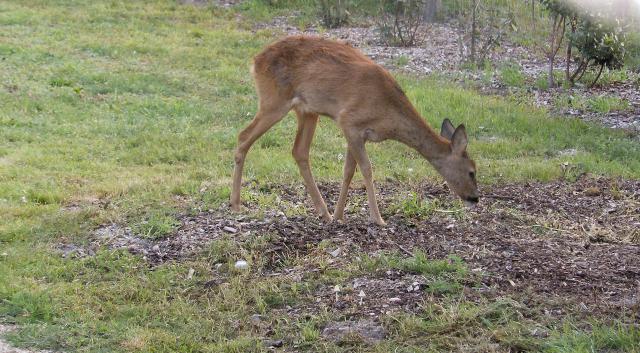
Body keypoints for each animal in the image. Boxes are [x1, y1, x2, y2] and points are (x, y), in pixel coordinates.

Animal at [231, 34, 480, 224]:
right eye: (471, 171)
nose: (475, 198)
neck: (388, 113)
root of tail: (255, 60)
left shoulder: (359, 133)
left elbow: (348, 171)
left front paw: (339, 215)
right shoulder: (348, 120)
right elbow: (367, 169)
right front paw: (378, 218)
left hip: (307, 111)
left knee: (299, 151)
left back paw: (324, 212)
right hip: (274, 100)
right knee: (243, 136)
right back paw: (235, 203)